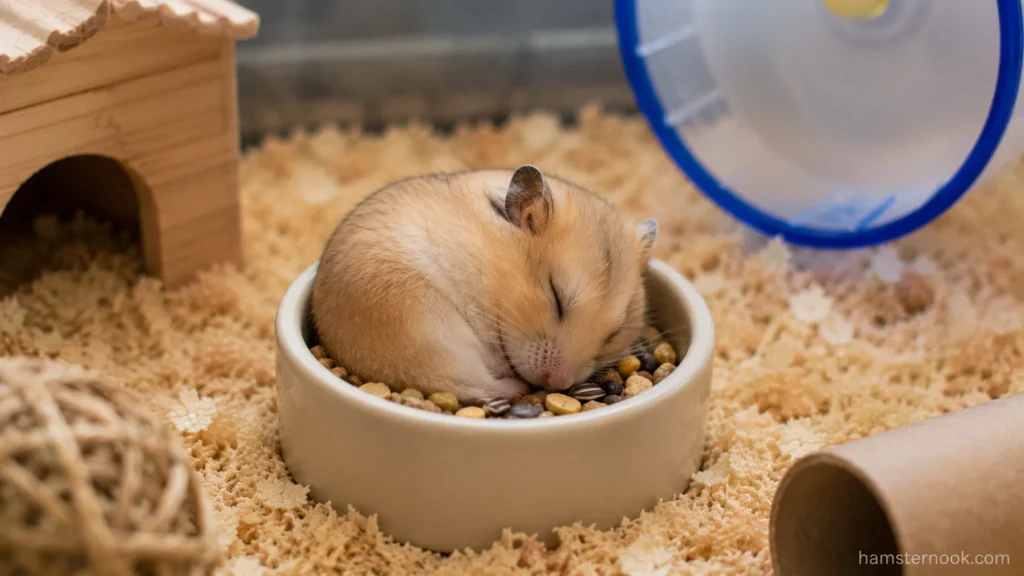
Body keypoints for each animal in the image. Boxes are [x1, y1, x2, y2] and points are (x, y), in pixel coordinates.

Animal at [311, 165, 657, 403]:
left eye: (613, 334)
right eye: (556, 296)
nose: (556, 384)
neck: (494, 264)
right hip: (425, 327)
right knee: (467, 382)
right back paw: (516, 385)